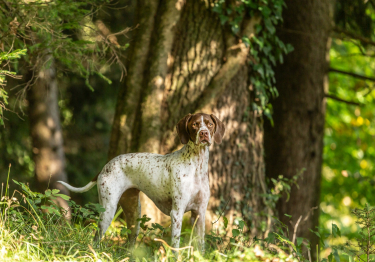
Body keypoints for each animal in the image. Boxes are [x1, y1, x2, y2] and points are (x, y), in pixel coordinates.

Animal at [57, 112, 225, 250]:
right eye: (194, 124)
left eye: (209, 124)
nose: (204, 133)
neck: (196, 166)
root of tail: (106, 166)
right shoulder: (177, 213)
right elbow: (175, 245)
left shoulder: (199, 214)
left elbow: (200, 246)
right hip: (108, 211)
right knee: (96, 238)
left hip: (133, 213)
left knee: (130, 242)